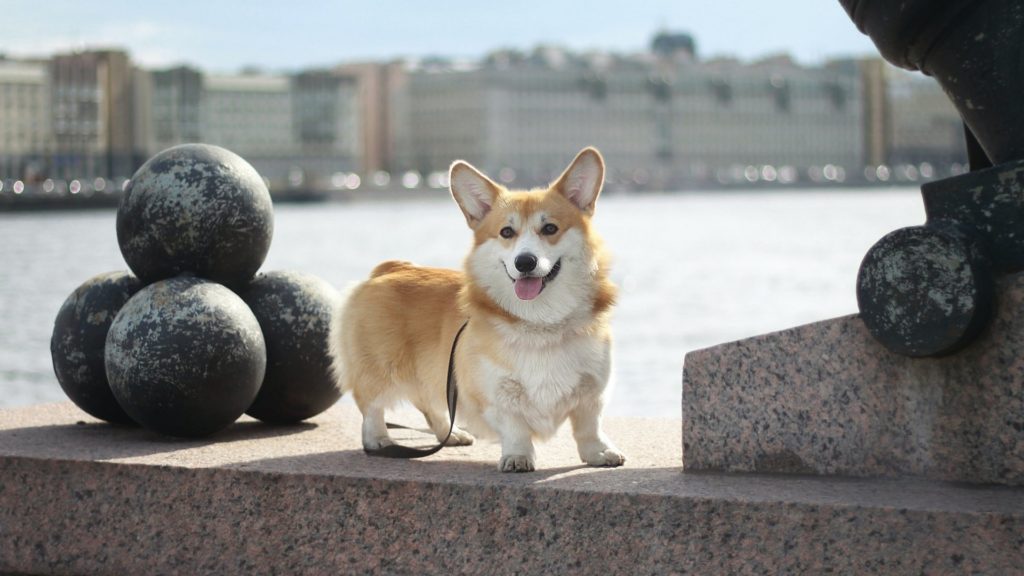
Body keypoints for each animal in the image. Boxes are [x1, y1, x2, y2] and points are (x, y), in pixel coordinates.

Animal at [329, 146, 622, 471]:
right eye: (506, 232)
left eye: (550, 228)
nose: (525, 262)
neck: (540, 321)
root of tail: (390, 268)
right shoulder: (496, 391)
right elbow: (516, 427)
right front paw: (518, 457)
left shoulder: (592, 390)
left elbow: (589, 426)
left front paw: (599, 453)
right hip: (380, 369)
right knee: (371, 406)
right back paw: (379, 440)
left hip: (434, 371)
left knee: (429, 404)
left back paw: (451, 434)